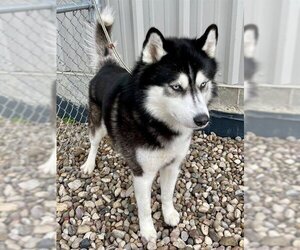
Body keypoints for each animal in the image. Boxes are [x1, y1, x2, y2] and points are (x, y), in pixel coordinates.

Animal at [82, 6, 218, 241]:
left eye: (203, 85)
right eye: (176, 87)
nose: (203, 119)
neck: (156, 122)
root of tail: (107, 65)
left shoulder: (172, 165)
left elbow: (167, 195)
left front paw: (169, 214)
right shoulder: (143, 175)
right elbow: (144, 207)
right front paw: (147, 231)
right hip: (97, 123)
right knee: (94, 143)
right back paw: (89, 164)